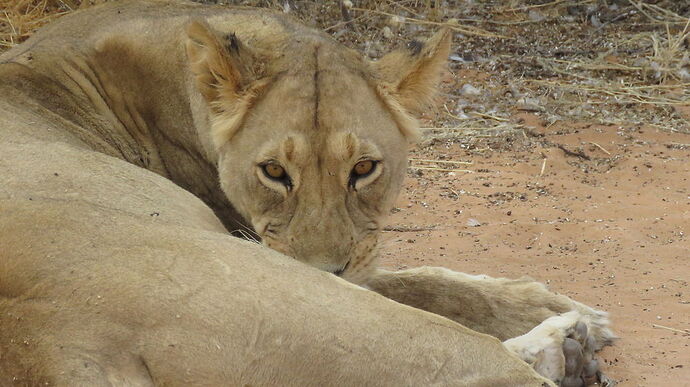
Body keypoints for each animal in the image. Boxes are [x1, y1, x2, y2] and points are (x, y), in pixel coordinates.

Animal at [0, 1, 612, 386]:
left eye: (363, 168)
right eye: (273, 171)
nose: (326, 270)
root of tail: (47, 341)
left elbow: (410, 277)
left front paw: (556, 307)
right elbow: (402, 280)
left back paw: (567, 346)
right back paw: (560, 351)